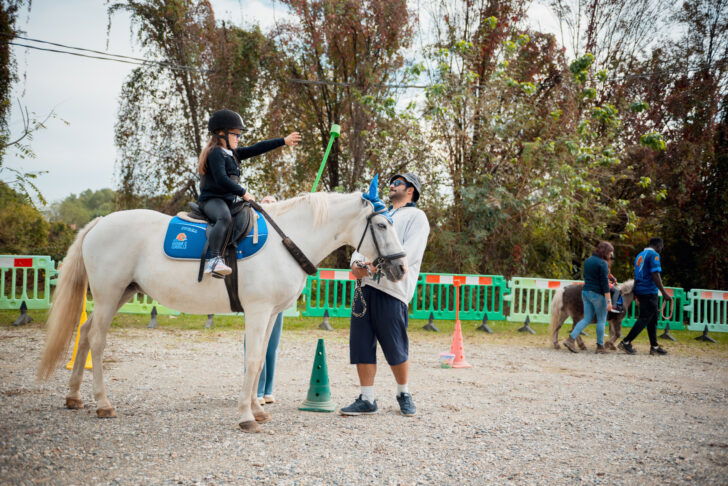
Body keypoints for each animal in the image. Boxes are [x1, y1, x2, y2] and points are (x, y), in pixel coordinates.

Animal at [37, 190, 406, 432]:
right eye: (382, 226)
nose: (401, 268)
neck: (285, 241)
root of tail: (99, 224)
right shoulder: (258, 311)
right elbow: (254, 360)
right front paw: (246, 417)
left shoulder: (270, 314)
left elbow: (259, 361)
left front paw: (256, 409)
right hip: (108, 293)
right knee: (98, 341)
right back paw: (103, 404)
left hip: (119, 294)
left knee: (86, 333)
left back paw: (74, 397)